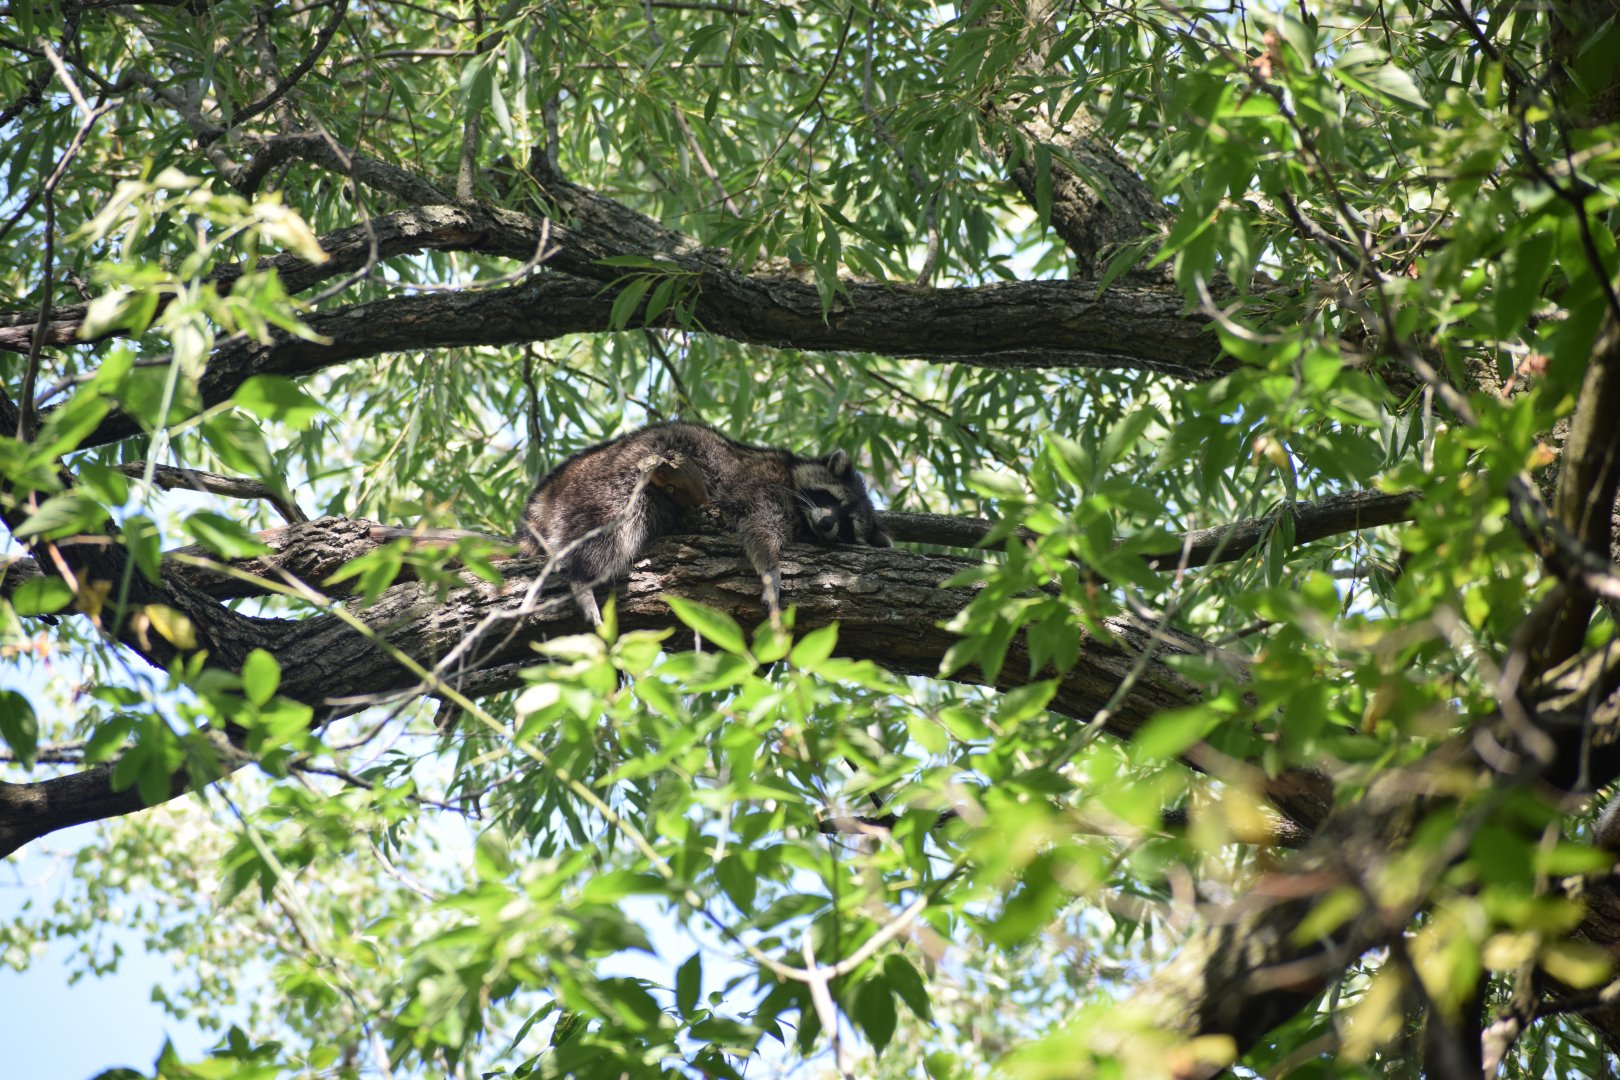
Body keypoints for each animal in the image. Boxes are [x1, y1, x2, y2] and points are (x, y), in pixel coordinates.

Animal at [518, 422, 891, 625]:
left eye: (848, 524)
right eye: (834, 500)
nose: (827, 523)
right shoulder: (766, 484)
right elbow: (759, 529)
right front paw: (771, 573)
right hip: (613, 479)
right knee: (613, 527)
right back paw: (582, 578)